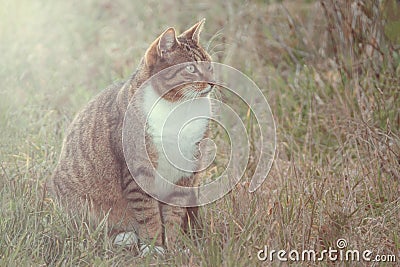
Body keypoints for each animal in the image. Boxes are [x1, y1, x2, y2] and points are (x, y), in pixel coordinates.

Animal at [47, 18, 214, 255]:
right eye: (190, 68)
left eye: (209, 65)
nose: (213, 82)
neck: (178, 106)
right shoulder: (138, 171)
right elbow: (148, 214)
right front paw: (153, 248)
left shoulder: (186, 173)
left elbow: (174, 215)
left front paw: (174, 248)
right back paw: (122, 237)